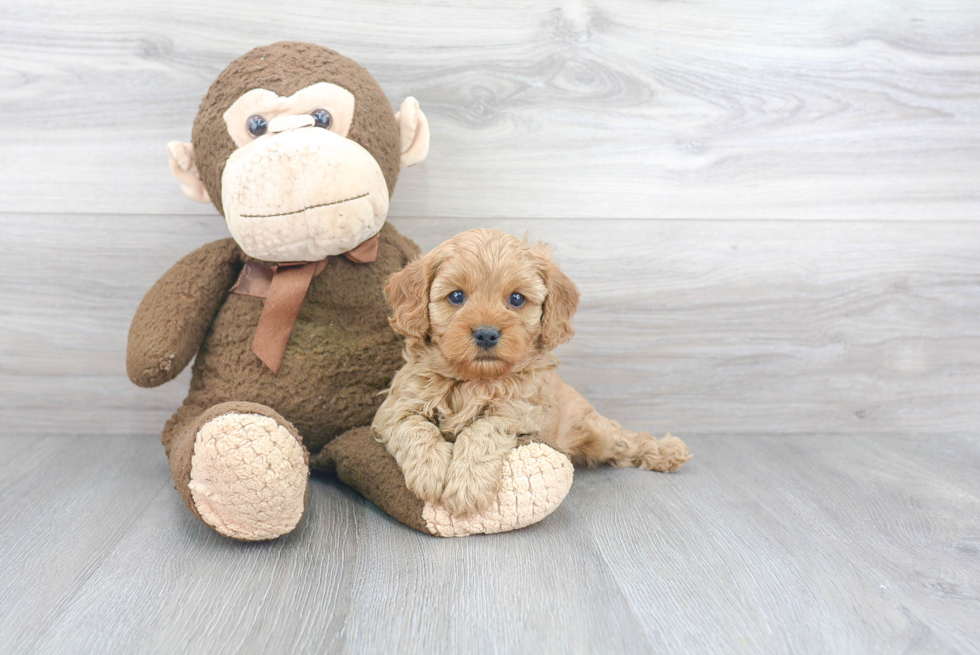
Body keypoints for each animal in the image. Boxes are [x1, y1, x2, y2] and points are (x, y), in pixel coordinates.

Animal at [374, 229, 688, 516]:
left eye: (516, 299)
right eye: (456, 296)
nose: (486, 334)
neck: (474, 380)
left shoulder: (523, 413)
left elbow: (483, 429)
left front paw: (467, 485)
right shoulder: (395, 408)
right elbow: (415, 428)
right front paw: (431, 473)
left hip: (594, 430)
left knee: (626, 441)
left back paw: (667, 451)